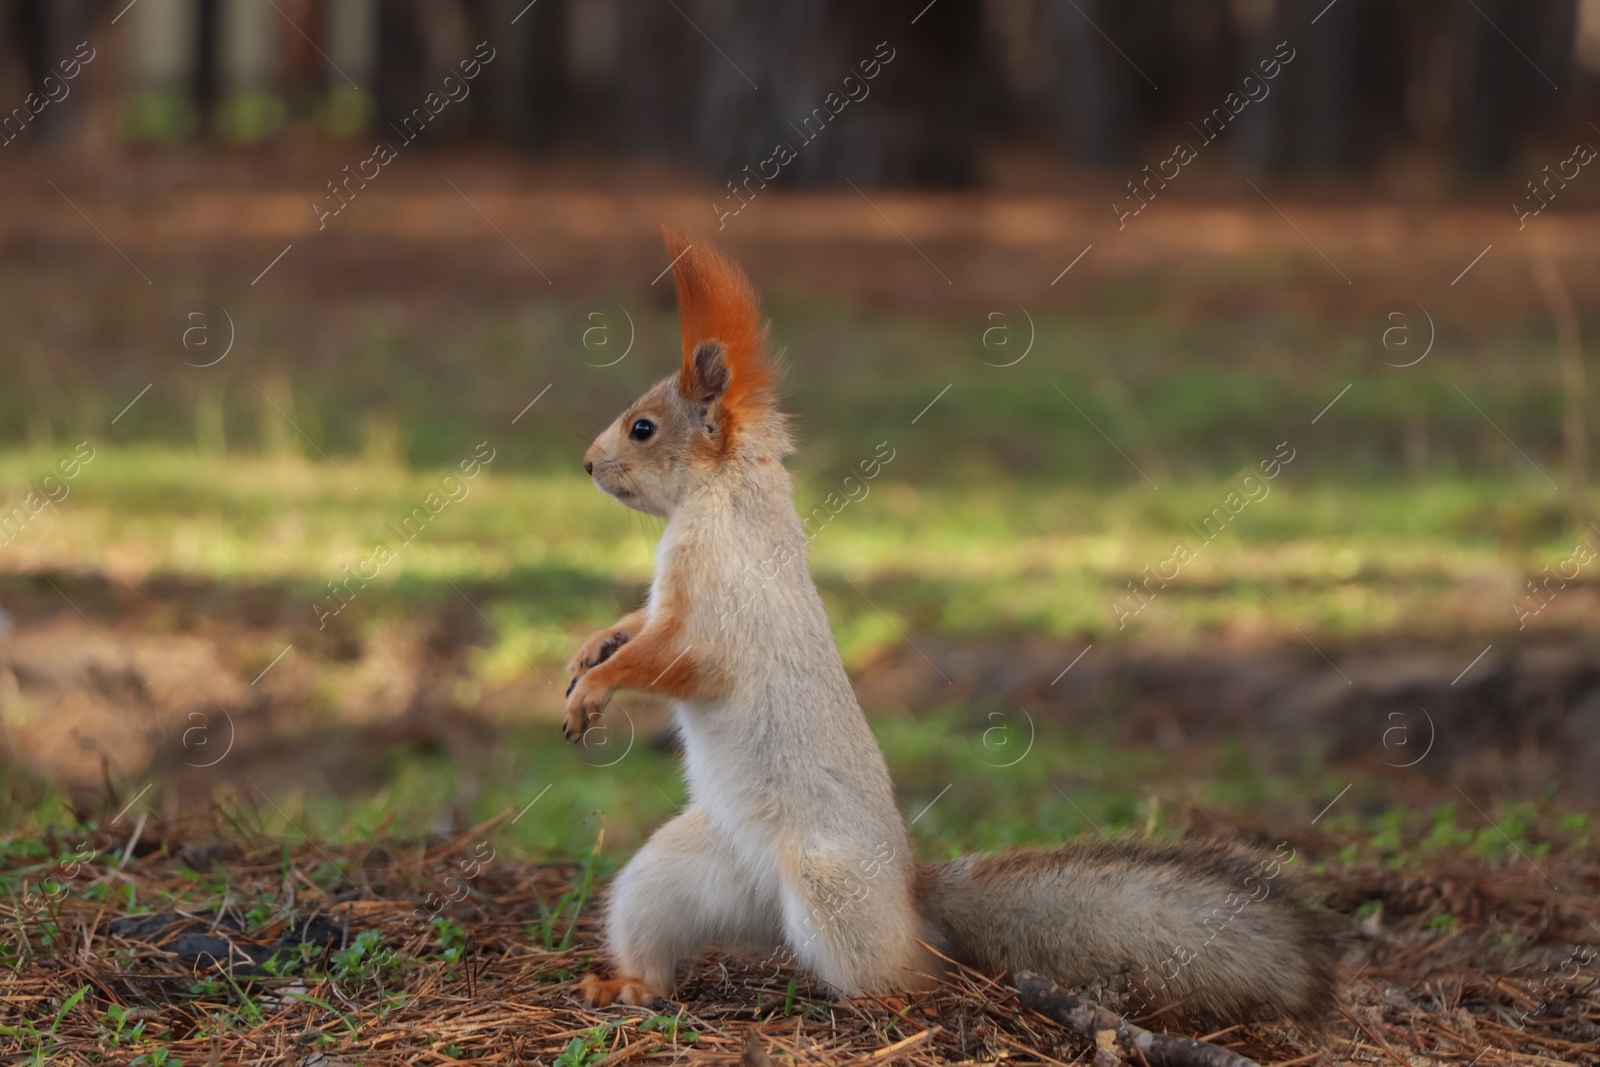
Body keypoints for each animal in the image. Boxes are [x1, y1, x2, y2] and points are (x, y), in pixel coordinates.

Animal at [563, 231, 1337, 1023]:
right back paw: (626, 984)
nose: (588, 463)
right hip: (678, 875)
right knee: (654, 925)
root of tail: (911, 899)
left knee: (913, 972)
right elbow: (641, 623)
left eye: (643, 428)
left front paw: (597, 685)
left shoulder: (721, 609)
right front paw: (593, 646)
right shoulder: (670, 601)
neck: (723, 490)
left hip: (827, 890)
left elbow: (677, 659)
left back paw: (888, 996)